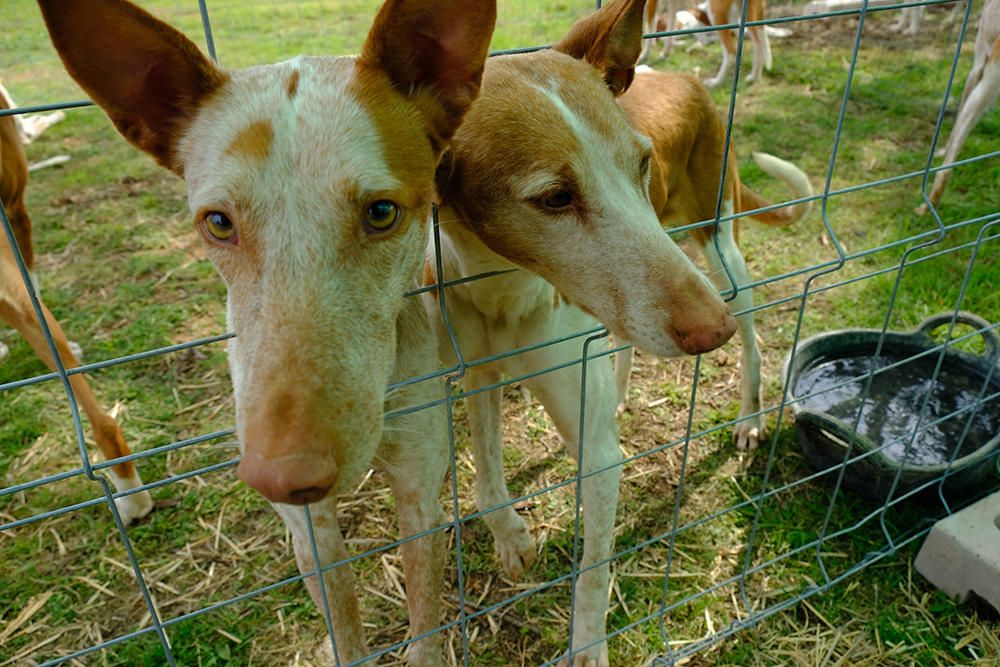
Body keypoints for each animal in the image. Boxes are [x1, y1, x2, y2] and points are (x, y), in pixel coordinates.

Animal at [42, 0, 496, 664]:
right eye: (217, 223)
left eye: (382, 213)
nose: (283, 476)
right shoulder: (311, 533)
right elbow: (345, 624)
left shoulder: (418, 490)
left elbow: (426, 619)